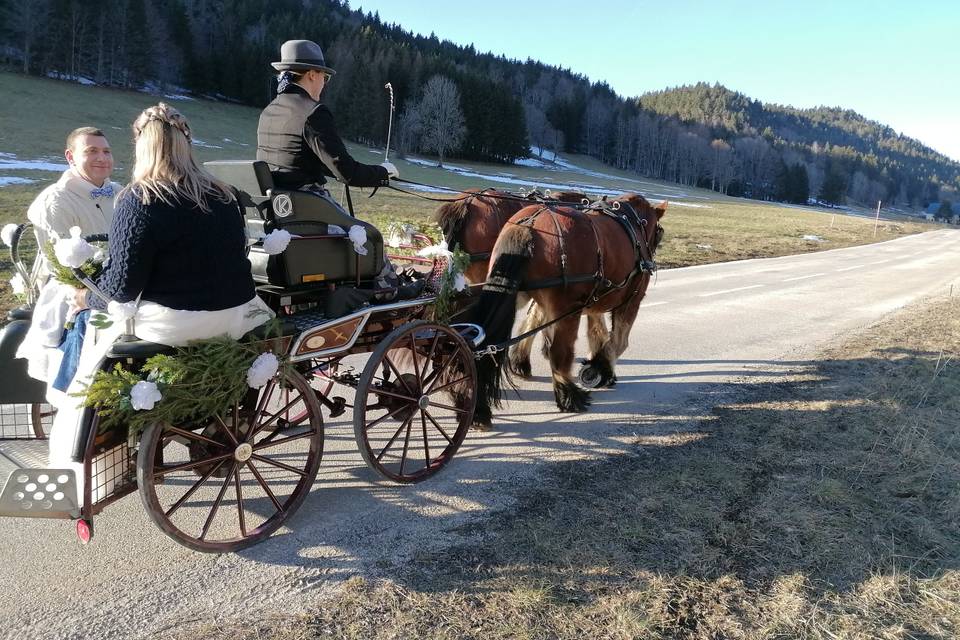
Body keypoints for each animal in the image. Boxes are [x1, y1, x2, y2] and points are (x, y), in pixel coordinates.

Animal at [466, 192, 664, 428]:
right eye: (659, 233)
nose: (652, 260)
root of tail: (530, 224)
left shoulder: (587, 301)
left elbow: (593, 331)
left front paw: (521, 362)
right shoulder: (631, 301)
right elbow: (618, 341)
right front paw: (600, 369)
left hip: (511, 293)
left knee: (486, 342)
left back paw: (478, 409)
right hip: (566, 309)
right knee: (559, 352)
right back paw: (569, 396)